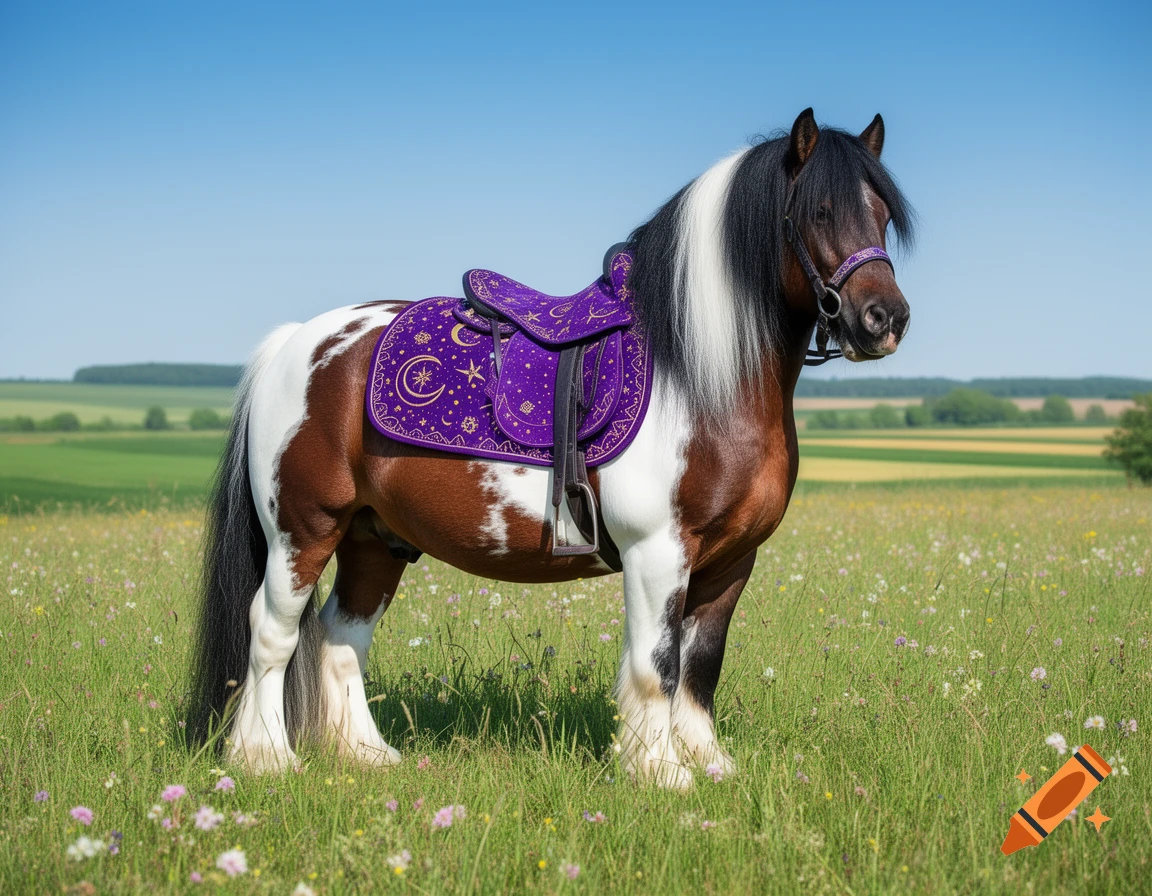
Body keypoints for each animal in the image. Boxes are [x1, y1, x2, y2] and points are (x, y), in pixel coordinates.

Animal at [187, 108, 914, 788]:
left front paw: (708, 764)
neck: (700, 375)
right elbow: (656, 666)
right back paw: (265, 759)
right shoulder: (658, 553)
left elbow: (700, 668)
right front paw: (660, 773)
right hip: (303, 531)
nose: (885, 319)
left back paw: (367, 755)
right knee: (272, 634)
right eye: (819, 211)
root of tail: (296, 341)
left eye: (882, 214)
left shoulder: (732, 562)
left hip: (374, 539)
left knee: (342, 637)